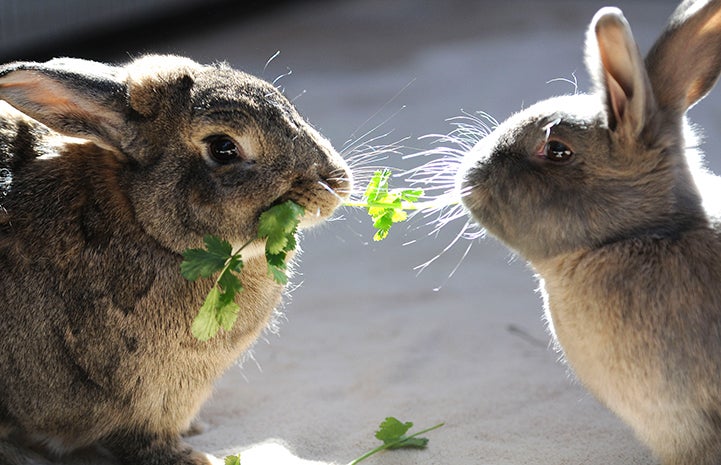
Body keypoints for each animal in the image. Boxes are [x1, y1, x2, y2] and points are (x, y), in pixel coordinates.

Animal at [0, 54, 351, 465]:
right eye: (223, 148)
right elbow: (139, 441)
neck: (142, 220)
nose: (336, 183)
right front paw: (196, 459)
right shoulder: (137, 400)